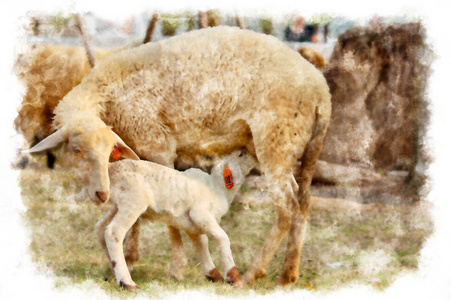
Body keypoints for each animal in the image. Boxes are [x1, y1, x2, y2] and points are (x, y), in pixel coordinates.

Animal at [86, 151, 254, 290]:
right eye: (241, 154)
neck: (218, 187)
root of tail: (112, 167)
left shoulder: (193, 224)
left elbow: (202, 242)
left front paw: (213, 274)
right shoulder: (200, 214)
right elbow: (222, 238)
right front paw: (234, 278)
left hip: (118, 205)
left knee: (100, 227)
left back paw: (116, 271)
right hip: (133, 201)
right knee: (113, 232)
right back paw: (127, 282)